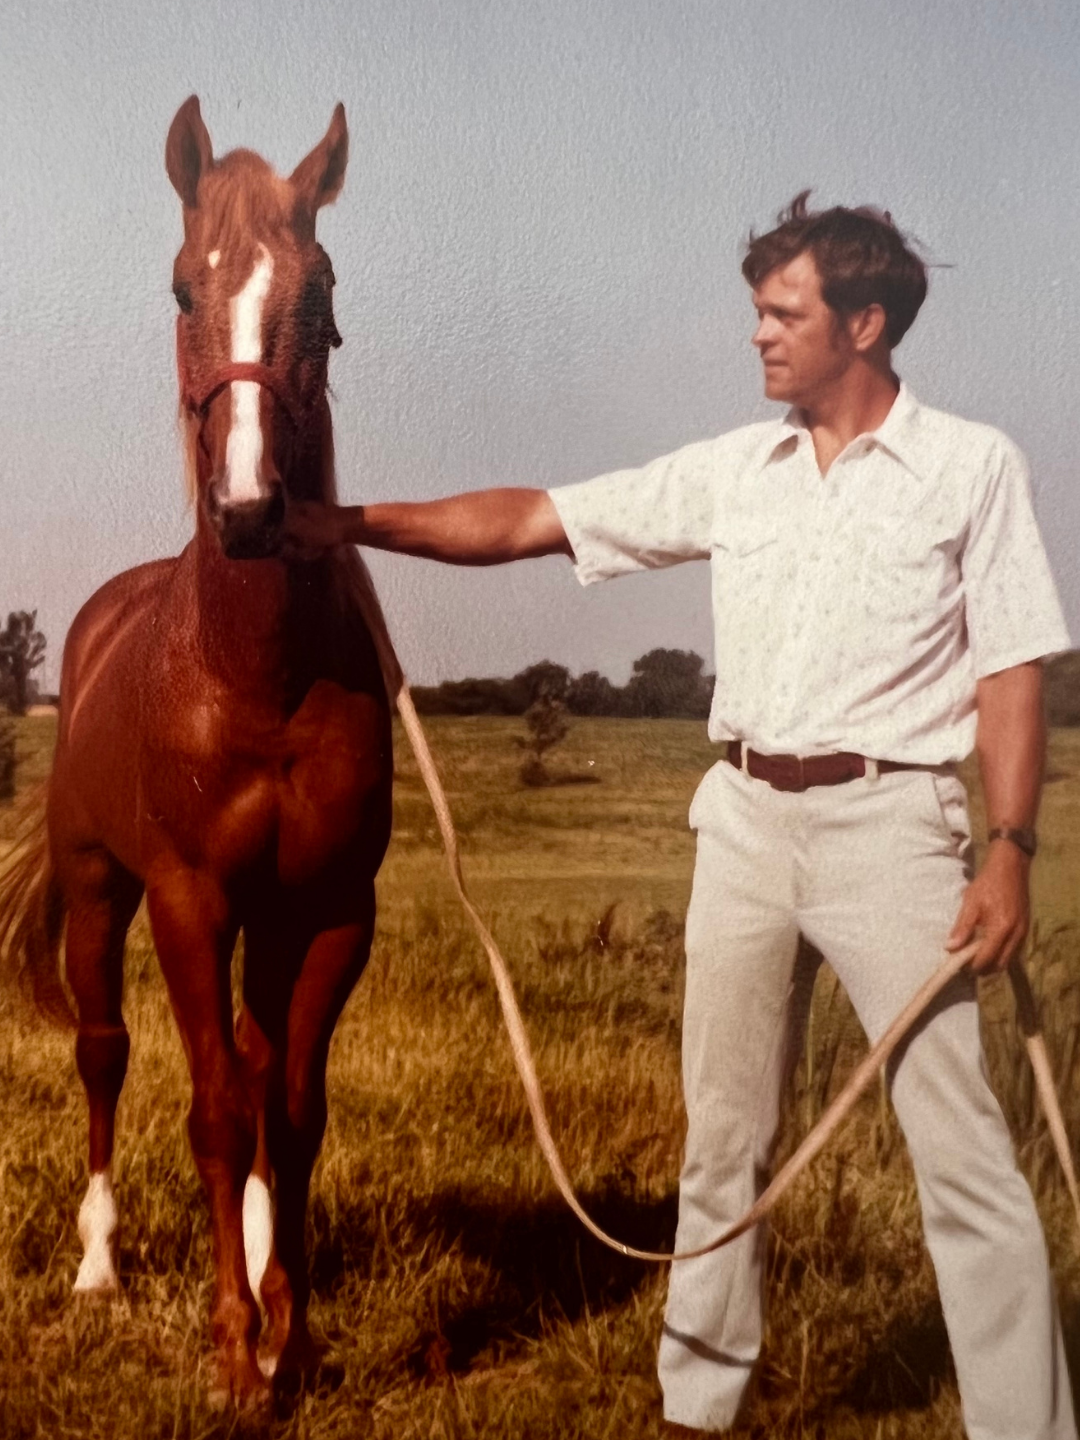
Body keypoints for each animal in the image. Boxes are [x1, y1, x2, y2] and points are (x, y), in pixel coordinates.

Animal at [0, 95, 393, 1403]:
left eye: (322, 288)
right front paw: (233, 1353)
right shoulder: (186, 900)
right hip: (94, 893)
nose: (251, 510)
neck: (255, 677)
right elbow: (217, 1109)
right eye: (184, 287)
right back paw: (98, 1268)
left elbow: (294, 1110)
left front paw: (293, 1335)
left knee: (262, 1065)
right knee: (108, 1056)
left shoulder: (329, 912)